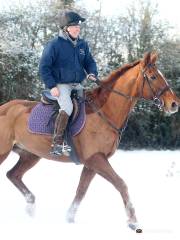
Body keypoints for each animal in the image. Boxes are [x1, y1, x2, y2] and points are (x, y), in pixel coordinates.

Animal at [0, 52, 178, 232]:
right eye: (153, 77)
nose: (174, 104)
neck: (104, 113)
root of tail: (5, 108)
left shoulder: (92, 163)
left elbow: (81, 190)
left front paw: (69, 219)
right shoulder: (96, 158)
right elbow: (121, 184)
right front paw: (133, 222)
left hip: (30, 155)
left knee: (13, 175)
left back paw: (31, 206)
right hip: (5, 153)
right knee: (12, 174)